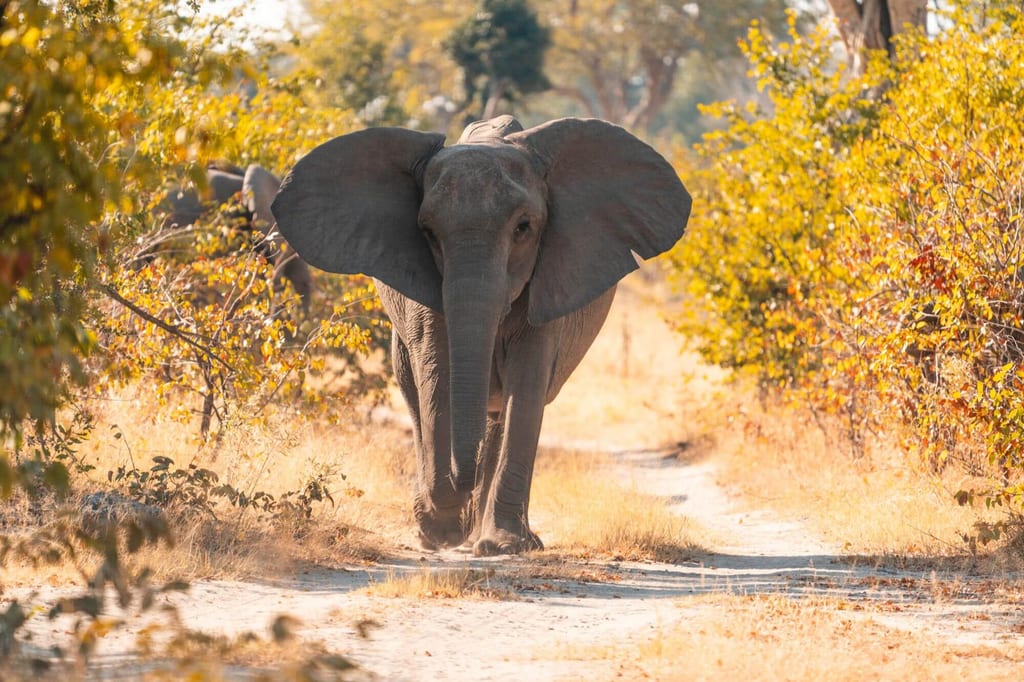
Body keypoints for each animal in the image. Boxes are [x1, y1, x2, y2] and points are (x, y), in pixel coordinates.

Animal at [271, 115, 692, 555]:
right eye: (427, 232)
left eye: (524, 227)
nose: (459, 495)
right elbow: (436, 374)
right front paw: (441, 530)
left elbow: (525, 385)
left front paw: (503, 544)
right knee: (416, 395)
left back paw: (489, 535)